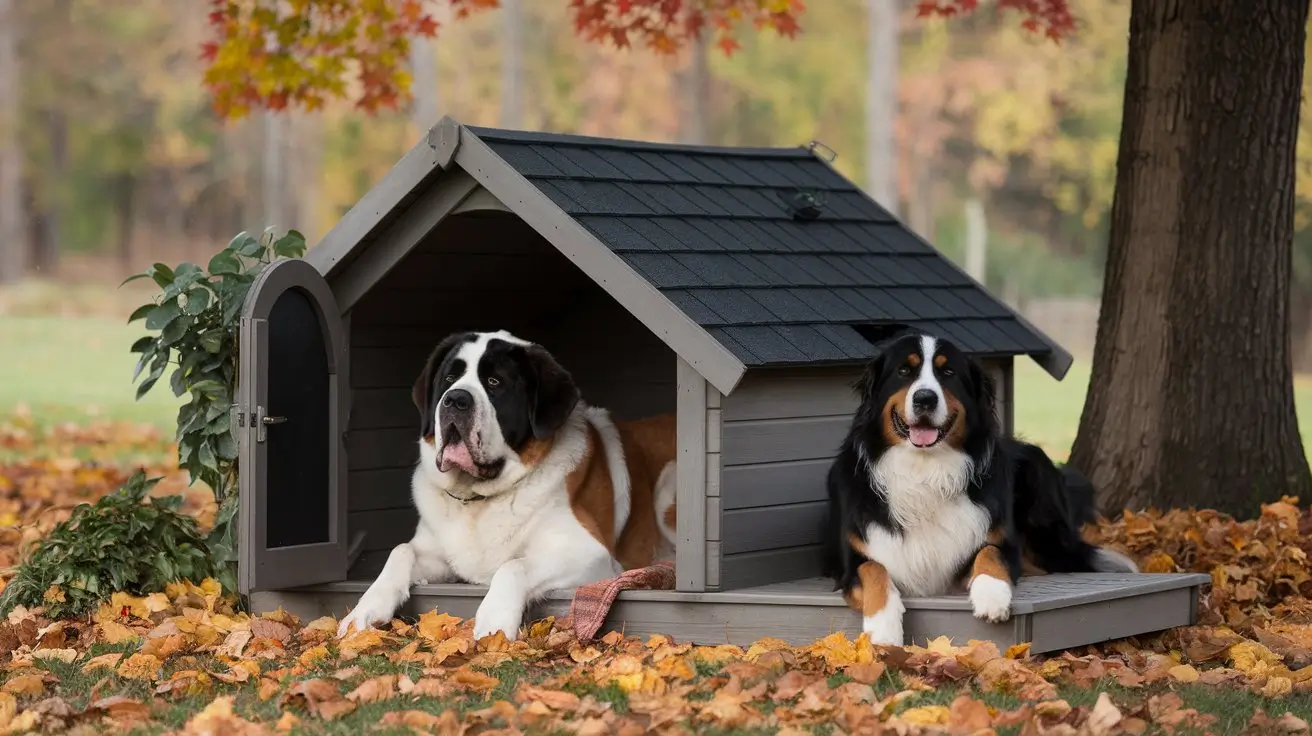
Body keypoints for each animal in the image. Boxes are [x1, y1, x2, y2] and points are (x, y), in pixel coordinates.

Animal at [338, 330, 676, 640]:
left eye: (495, 383)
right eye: (449, 378)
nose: (455, 399)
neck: (479, 498)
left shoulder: (591, 553)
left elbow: (513, 566)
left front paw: (494, 624)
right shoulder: (435, 551)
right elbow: (400, 551)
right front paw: (364, 609)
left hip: (665, 494)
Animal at [818, 330, 1138, 645]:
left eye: (948, 372)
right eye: (904, 371)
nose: (925, 398)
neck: (924, 471)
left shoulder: (1000, 541)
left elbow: (990, 552)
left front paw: (992, 595)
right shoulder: (850, 559)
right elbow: (873, 568)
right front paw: (883, 628)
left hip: (1039, 481)